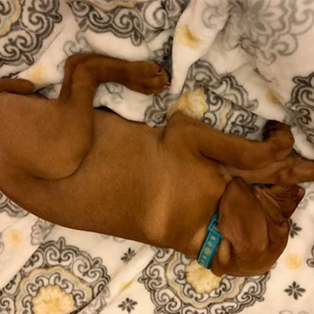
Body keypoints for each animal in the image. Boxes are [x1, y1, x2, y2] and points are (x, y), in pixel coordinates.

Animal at [0, 55, 312, 276]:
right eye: (281, 224)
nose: (300, 194)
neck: (209, 231)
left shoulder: (224, 166)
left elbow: (275, 167)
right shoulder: (185, 132)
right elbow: (257, 156)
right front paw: (286, 142)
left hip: (65, 138)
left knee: (75, 68)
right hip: (64, 152)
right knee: (79, 70)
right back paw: (142, 77)